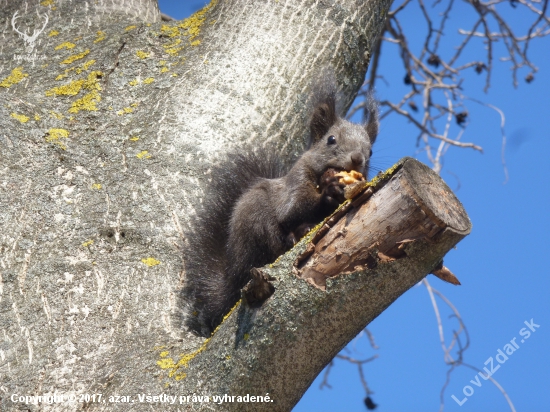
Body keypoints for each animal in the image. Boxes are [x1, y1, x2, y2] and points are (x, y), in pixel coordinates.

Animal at [182, 77, 380, 338]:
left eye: (371, 150)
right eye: (331, 139)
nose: (357, 158)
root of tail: (233, 273)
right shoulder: (294, 185)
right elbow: (292, 210)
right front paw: (329, 189)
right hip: (255, 220)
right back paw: (294, 236)